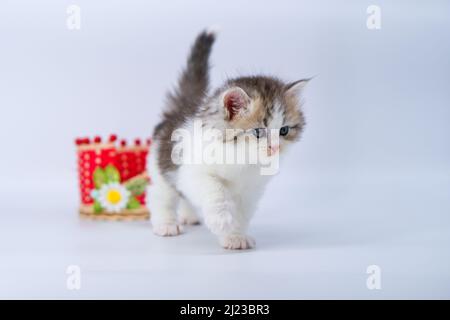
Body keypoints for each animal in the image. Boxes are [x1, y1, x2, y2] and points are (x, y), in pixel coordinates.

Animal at [149, 29, 308, 250]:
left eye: (283, 130)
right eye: (258, 132)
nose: (275, 148)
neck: (240, 156)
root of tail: (181, 107)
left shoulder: (251, 189)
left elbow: (242, 213)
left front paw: (235, 236)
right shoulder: (191, 171)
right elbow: (214, 189)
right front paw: (221, 219)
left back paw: (189, 216)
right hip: (162, 166)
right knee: (162, 195)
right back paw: (166, 224)